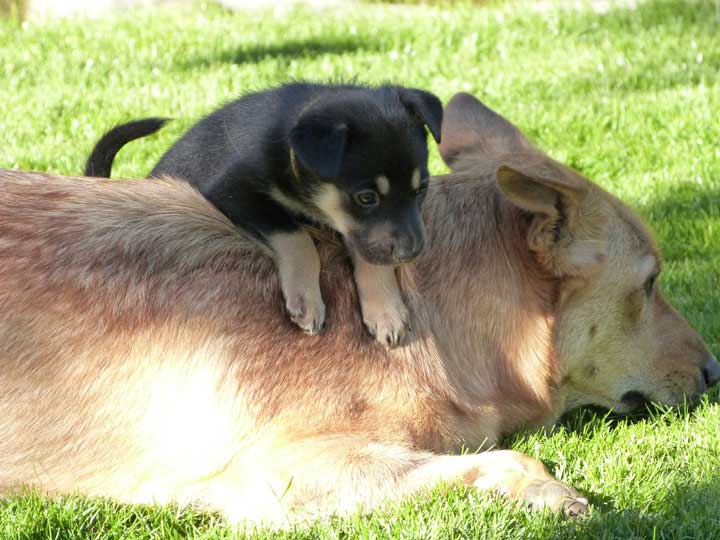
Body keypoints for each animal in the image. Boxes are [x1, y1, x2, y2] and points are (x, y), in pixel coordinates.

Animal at [85, 83, 444, 348]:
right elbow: (296, 236)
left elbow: (369, 253)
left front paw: (386, 311)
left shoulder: (364, 234)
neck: (293, 156)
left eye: (421, 189)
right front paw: (306, 298)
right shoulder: (231, 192)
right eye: (366, 198)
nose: (413, 252)